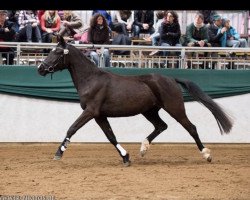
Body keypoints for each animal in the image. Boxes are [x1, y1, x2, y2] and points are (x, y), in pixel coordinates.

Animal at [38, 35, 233, 166]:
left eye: (57, 52)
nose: (40, 69)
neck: (91, 79)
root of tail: (171, 79)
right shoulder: (99, 115)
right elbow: (110, 136)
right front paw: (126, 157)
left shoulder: (90, 111)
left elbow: (72, 128)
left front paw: (58, 153)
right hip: (149, 111)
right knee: (161, 126)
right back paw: (143, 148)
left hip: (175, 108)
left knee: (191, 128)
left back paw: (206, 154)